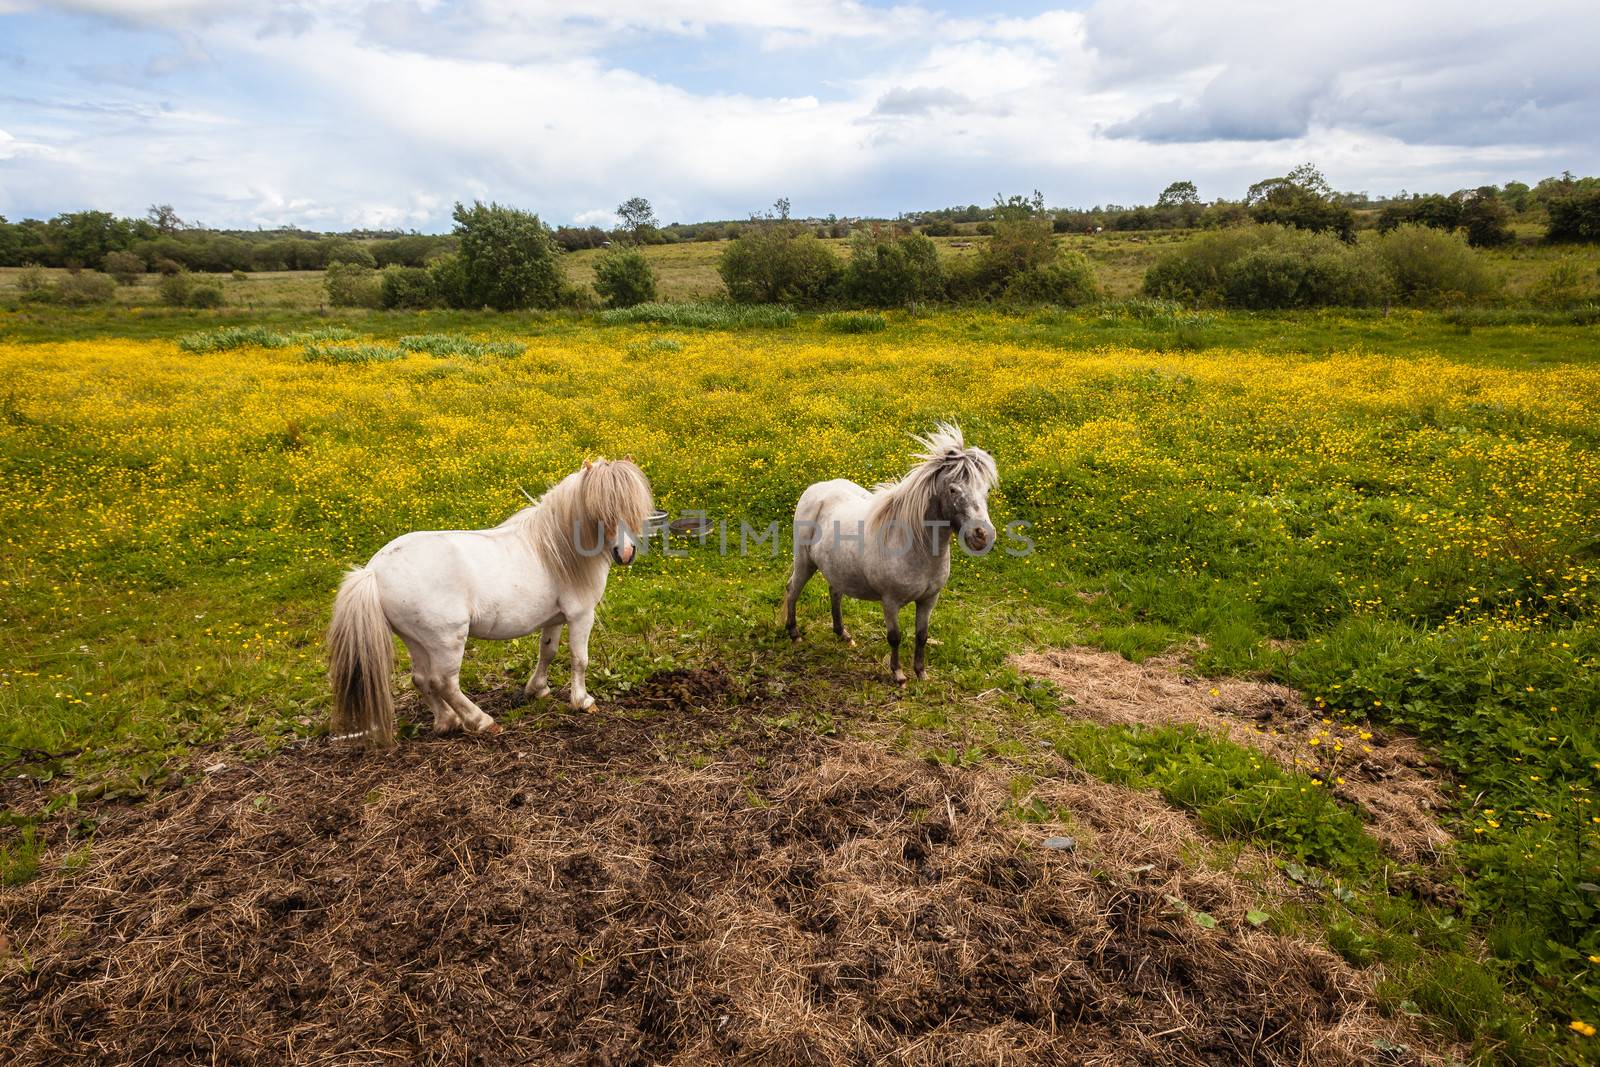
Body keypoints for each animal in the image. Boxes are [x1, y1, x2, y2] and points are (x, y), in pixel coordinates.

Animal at [324, 460, 649, 751]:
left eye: (633, 508)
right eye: (601, 511)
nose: (626, 554)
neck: (556, 547)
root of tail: (373, 572)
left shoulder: (554, 619)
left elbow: (548, 652)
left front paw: (538, 689)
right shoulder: (581, 615)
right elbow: (579, 659)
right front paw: (582, 701)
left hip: (416, 640)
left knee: (421, 680)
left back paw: (447, 721)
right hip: (447, 640)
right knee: (444, 682)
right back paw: (481, 721)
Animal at [780, 425, 992, 684]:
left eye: (986, 490)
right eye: (953, 489)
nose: (982, 535)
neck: (917, 546)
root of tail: (816, 488)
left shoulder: (929, 599)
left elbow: (922, 635)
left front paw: (921, 672)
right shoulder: (890, 602)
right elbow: (895, 636)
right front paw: (898, 675)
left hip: (837, 568)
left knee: (835, 592)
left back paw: (843, 634)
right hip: (804, 562)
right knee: (793, 590)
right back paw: (794, 633)